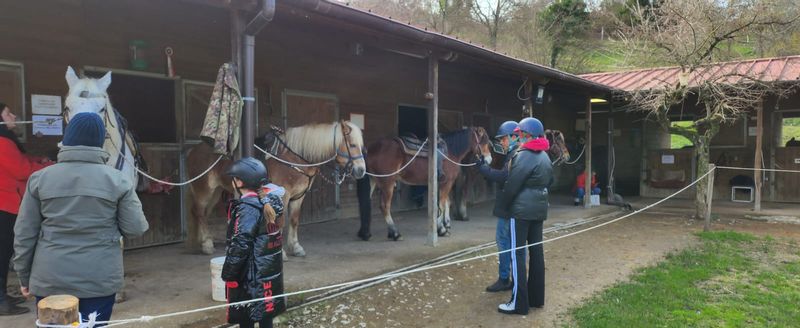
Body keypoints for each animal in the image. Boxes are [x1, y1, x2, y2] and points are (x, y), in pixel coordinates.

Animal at [188, 120, 366, 256]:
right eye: (352, 145)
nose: (361, 170)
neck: (293, 158)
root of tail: (193, 150)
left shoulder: (298, 197)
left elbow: (294, 220)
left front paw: (296, 247)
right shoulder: (283, 195)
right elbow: (281, 222)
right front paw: (282, 252)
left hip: (216, 192)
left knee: (203, 214)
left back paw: (202, 241)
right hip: (204, 189)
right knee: (199, 212)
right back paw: (207, 245)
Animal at [358, 127, 494, 240]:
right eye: (483, 141)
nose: (489, 160)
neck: (450, 152)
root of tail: (371, 149)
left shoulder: (440, 183)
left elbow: (444, 203)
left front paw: (445, 225)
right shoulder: (447, 182)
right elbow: (442, 204)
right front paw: (441, 230)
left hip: (373, 181)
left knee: (365, 203)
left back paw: (365, 233)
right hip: (388, 183)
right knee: (385, 207)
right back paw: (395, 233)